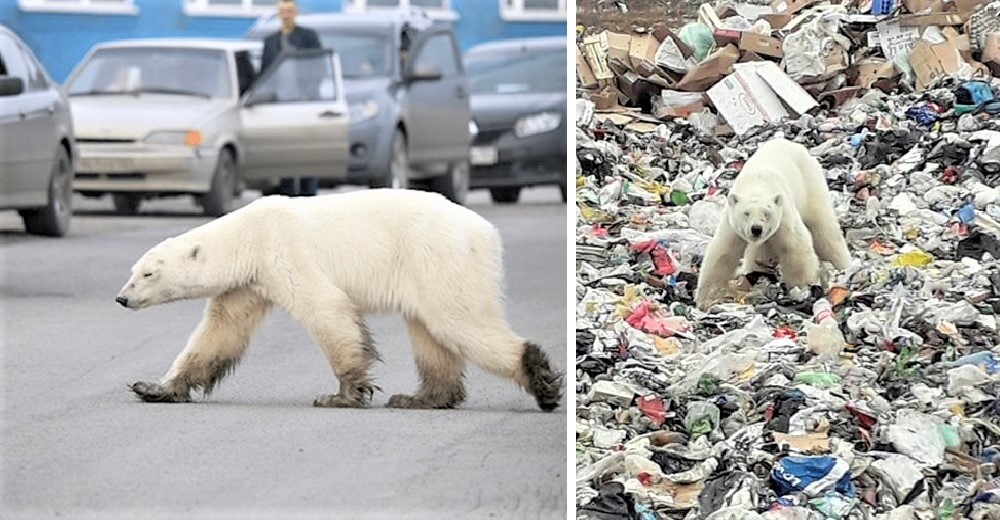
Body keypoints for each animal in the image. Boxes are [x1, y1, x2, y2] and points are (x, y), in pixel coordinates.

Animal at [117, 189, 564, 412]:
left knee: (458, 321)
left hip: (438, 257)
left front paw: (341, 395)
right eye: (133, 270)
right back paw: (420, 398)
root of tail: (486, 231)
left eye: (148, 273)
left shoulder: (285, 252)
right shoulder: (249, 283)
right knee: (429, 333)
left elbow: (326, 309)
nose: (121, 298)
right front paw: (154, 388)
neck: (248, 235)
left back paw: (541, 382)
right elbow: (219, 332)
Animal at [696, 137, 852, 308]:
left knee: (824, 231)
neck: (757, 183)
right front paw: (705, 299)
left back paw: (843, 266)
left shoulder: (783, 214)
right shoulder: (731, 223)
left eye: (767, 213)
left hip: (811, 185)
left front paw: (801, 288)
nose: (756, 229)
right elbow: (723, 253)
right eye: (746, 213)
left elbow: (795, 246)